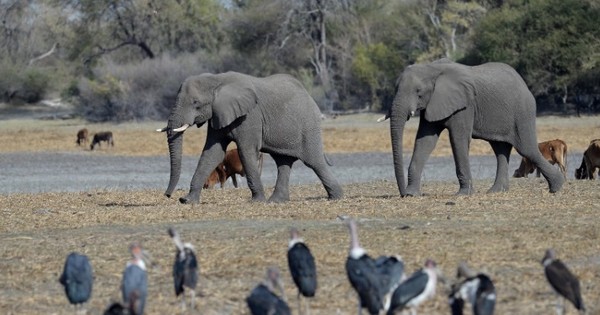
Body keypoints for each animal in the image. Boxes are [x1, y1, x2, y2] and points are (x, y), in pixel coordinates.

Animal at [158, 71, 342, 205]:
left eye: (196, 103)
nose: (167, 195)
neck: (217, 79)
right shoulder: (218, 114)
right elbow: (212, 153)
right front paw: (187, 201)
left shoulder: (250, 116)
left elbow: (246, 151)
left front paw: (256, 201)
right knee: (283, 162)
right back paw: (276, 201)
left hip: (309, 126)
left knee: (315, 162)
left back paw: (336, 197)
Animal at [382, 59, 564, 196]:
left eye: (418, 92)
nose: (402, 192)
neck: (432, 68)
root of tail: (525, 85)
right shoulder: (433, 103)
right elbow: (425, 140)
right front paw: (412, 194)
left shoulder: (464, 105)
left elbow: (458, 139)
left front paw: (463, 194)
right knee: (500, 149)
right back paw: (496, 191)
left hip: (523, 112)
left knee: (526, 148)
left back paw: (557, 187)